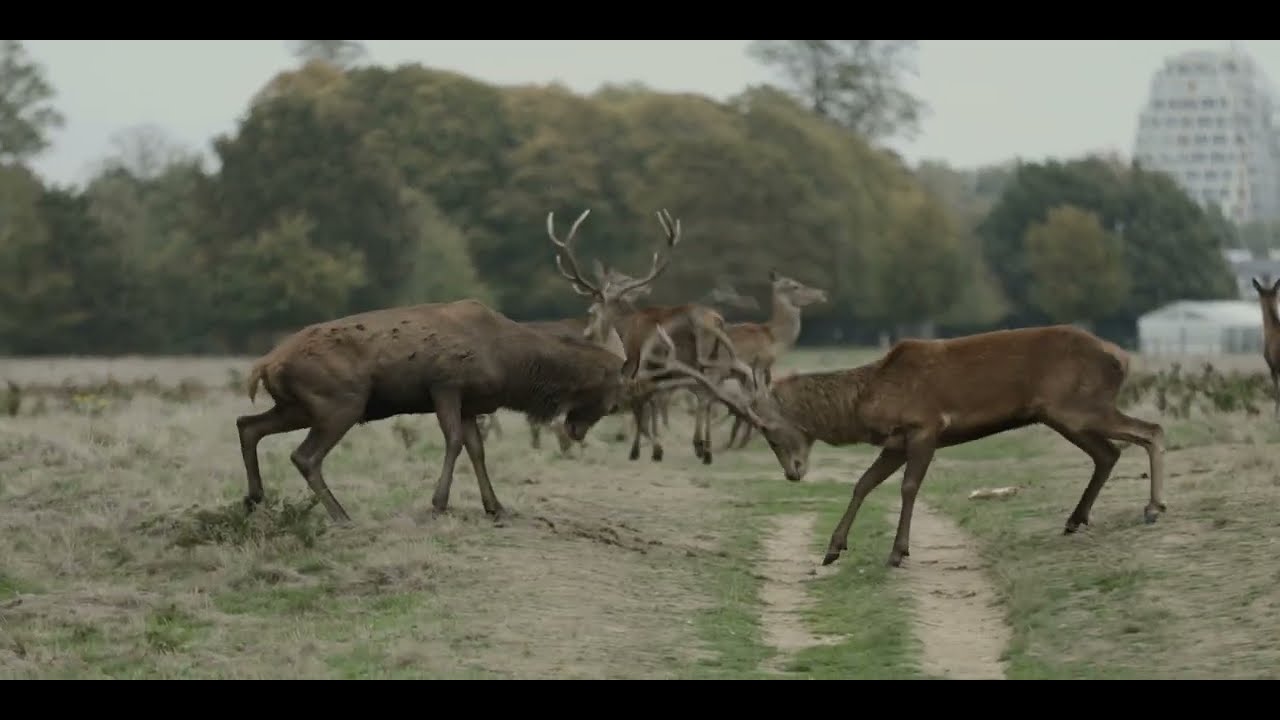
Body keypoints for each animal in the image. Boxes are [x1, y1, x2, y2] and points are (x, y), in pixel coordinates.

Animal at [234, 297, 692, 523]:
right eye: (614, 396)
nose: (575, 430)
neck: (510, 365)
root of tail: (264, 365)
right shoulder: (445, 385)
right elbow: (454, 441)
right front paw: (438, 503)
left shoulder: (473, 402)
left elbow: (476, 448)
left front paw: (496, 507)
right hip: (340, 403)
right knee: (304, 456)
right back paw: (340, 515)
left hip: (299, 406)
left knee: (247, 424)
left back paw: (254, 499)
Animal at [545, 208, 755, 463]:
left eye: (591, 312)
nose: (587, 334)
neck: (624, 329)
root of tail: (712, 321)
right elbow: (652, 402)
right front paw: (653, 446)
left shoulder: (636, 364)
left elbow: (644, 403)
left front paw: (644, 449)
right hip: (722, 358)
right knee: (730, 382)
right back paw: (719, 440)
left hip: (674, 357)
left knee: (704, 393)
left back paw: (701, 446)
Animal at [641, 322, 1168, 568]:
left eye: (767, 429)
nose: (792, 472)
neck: (866, 401)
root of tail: (1121, 358)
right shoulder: (894, 441)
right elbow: (862, 483)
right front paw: (832, 549)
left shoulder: (926, 426)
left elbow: (908, 488)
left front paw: (897, 552)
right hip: (1064, 415)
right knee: (1110, 452)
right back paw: (1076, 519)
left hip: (1079, 406)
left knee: (1151, 431)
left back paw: (1153, 507)